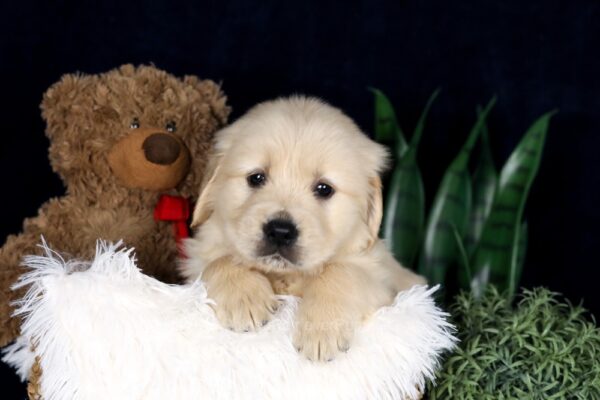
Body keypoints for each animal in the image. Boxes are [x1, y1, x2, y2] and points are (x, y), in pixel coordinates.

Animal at [180, 97, 424, 362]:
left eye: (324, 188)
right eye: (256, 178)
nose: (280, 231)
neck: (285, 275)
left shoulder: (382, 280)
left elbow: (341, 272)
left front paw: (322, 331)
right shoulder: (197, 261)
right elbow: (220, 262)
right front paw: (244, 300)